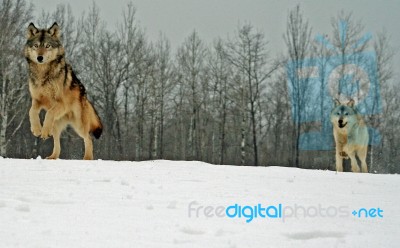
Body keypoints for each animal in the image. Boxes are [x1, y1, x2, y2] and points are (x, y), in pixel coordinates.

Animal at [24, 22, 102, 160]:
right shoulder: (37, 100)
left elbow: (48, 113)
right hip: (57, 125)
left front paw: (43, 130)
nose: (40, 57)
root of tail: (86, 97)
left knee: (88, 138)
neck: (43, 74)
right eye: (36, 46)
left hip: (79, 125)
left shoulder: (61, 104)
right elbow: (31, 111)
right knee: (56, 140)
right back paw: (52, 156)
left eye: (47, 46)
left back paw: (87, 158)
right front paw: (37, 129)